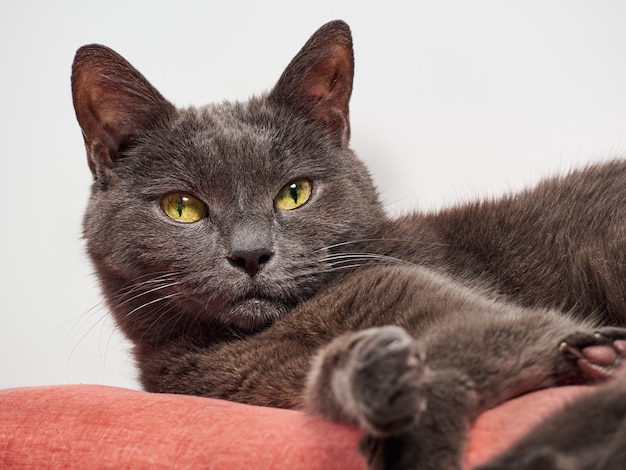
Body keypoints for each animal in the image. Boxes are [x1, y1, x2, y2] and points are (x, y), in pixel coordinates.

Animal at [70, 19, 624, 470]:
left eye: (295, 193)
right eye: (182, 206)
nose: (250, 254)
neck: (272, 334)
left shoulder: (458, 305)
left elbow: (477, 341)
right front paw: (373, 369)